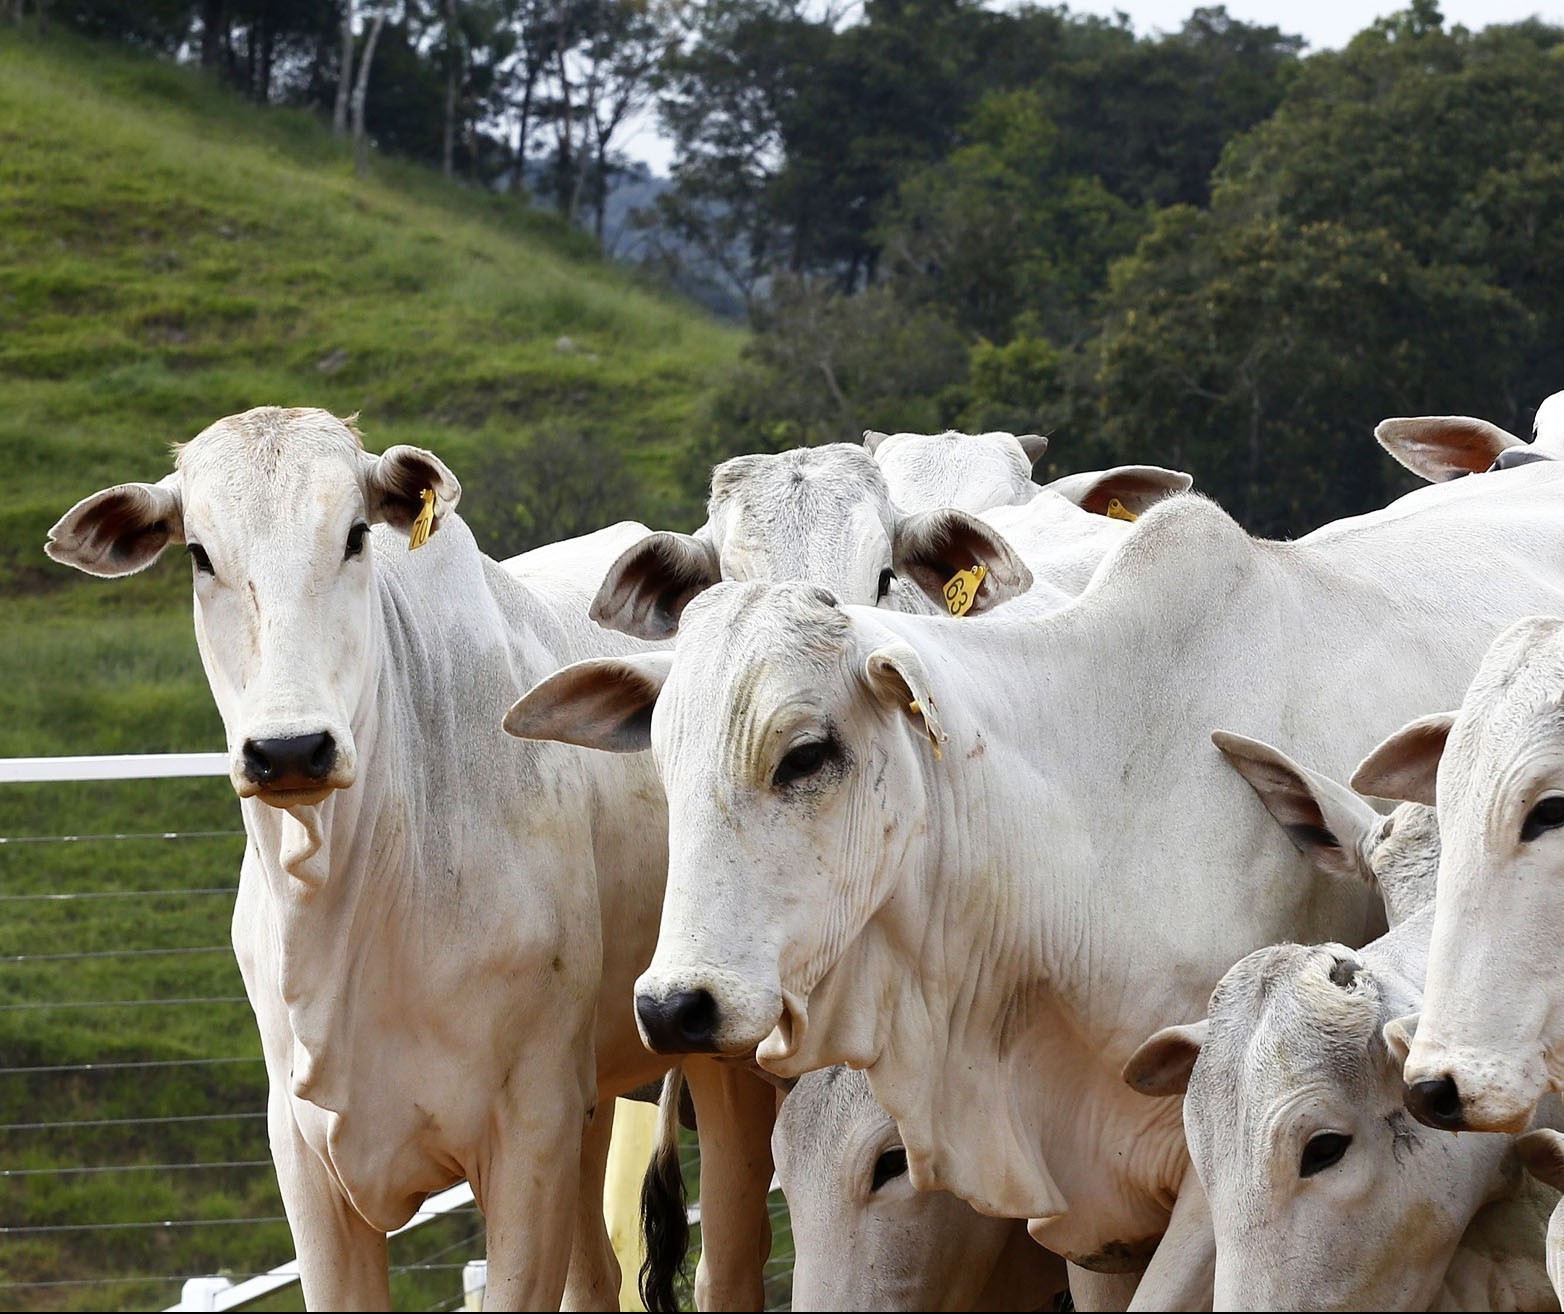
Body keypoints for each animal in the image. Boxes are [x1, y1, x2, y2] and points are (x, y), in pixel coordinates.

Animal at [45, 409, 778, 1314]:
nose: (289, 749)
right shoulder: (308, 1162)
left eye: (355, 535)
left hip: (720, 1064)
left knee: (730, 1261)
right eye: (199, 554)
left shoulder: (527, 1138)